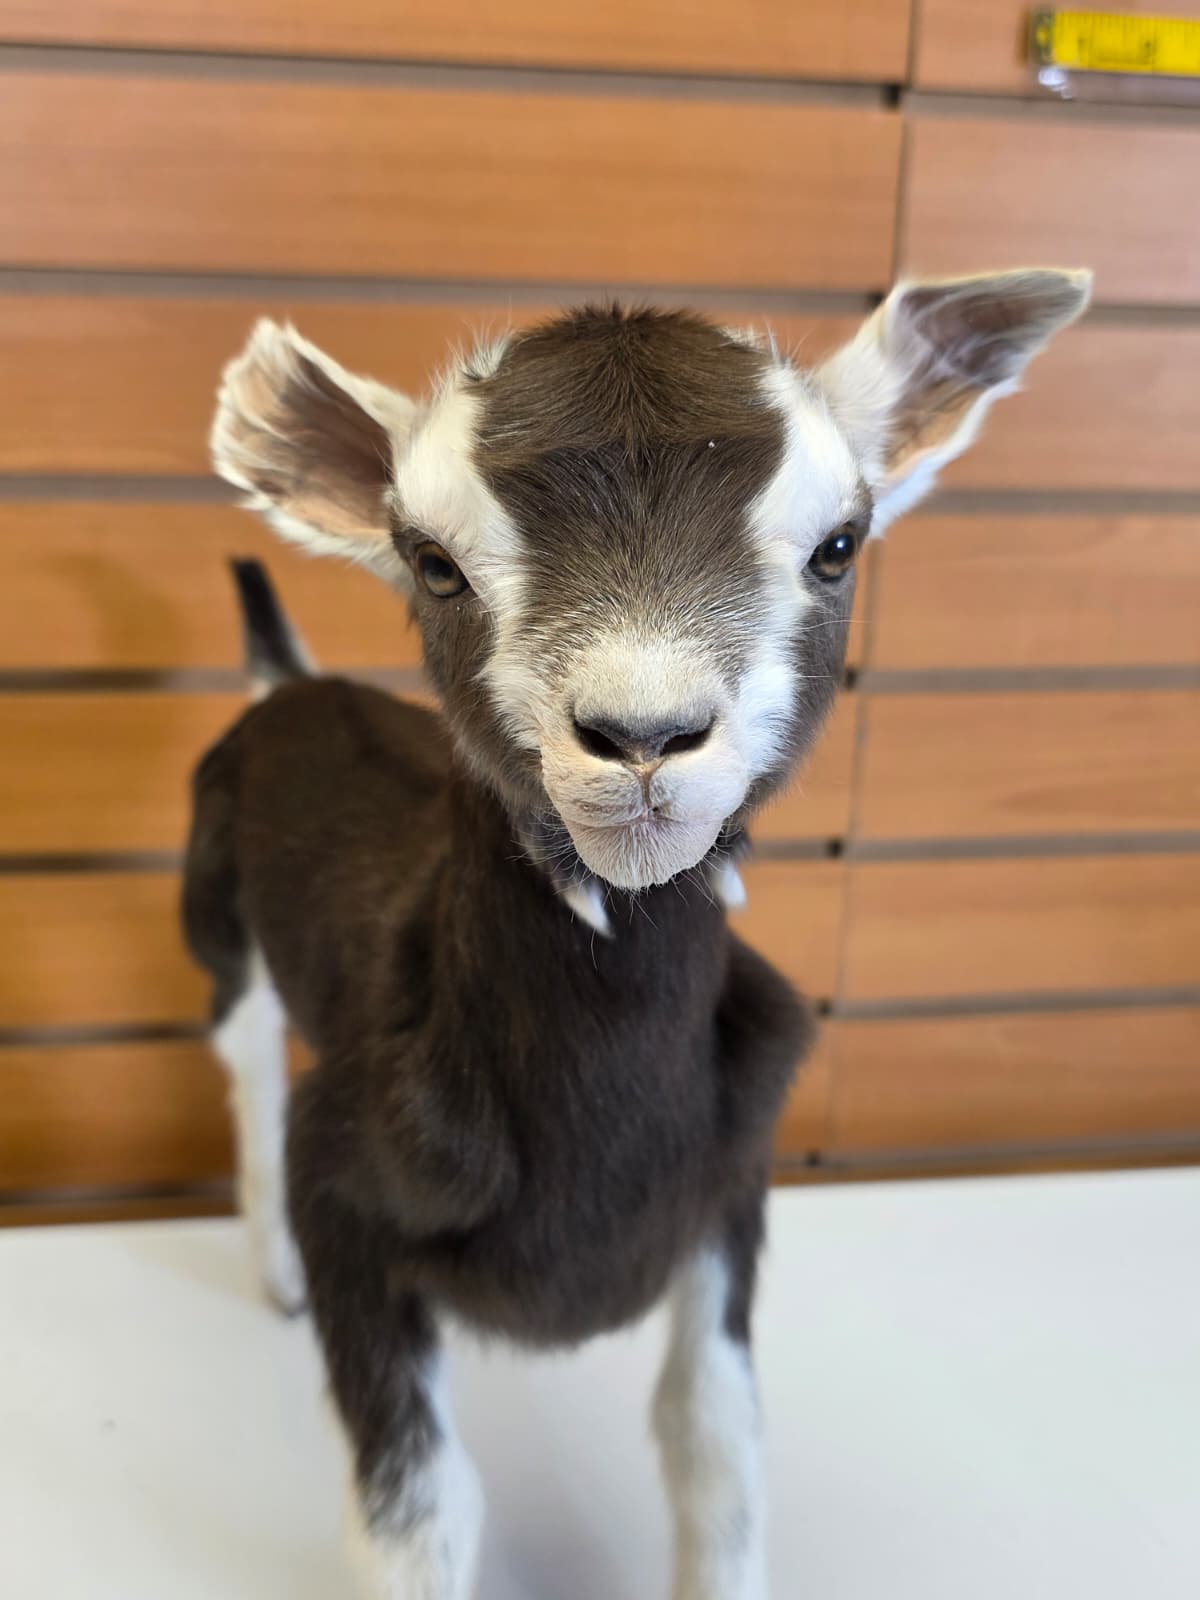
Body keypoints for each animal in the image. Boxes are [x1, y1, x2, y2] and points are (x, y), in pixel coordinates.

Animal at [185, 271, 1089, 1599]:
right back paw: (275, 1278)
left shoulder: (727, 1198)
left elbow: (716, 1448)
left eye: (838, 545)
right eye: (431, 561)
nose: (644, 736)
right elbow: (416, 1509)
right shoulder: (350, 1211)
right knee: (243, 1056)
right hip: (219, 931)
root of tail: (287, 683)